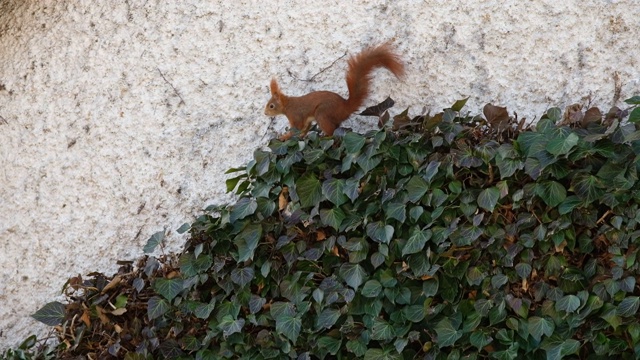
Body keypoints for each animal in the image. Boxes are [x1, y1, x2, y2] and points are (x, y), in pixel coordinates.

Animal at [264, 43, 404, 140]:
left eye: (271, 106)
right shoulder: (305, 122)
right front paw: (299, 137)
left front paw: (284, 137)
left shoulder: (296, 116)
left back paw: (325, 136)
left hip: (323, 113)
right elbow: (303, 130)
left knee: (331, 131)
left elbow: (295, 129)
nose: (265, 113)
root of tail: (345, 108)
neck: (287, 105)